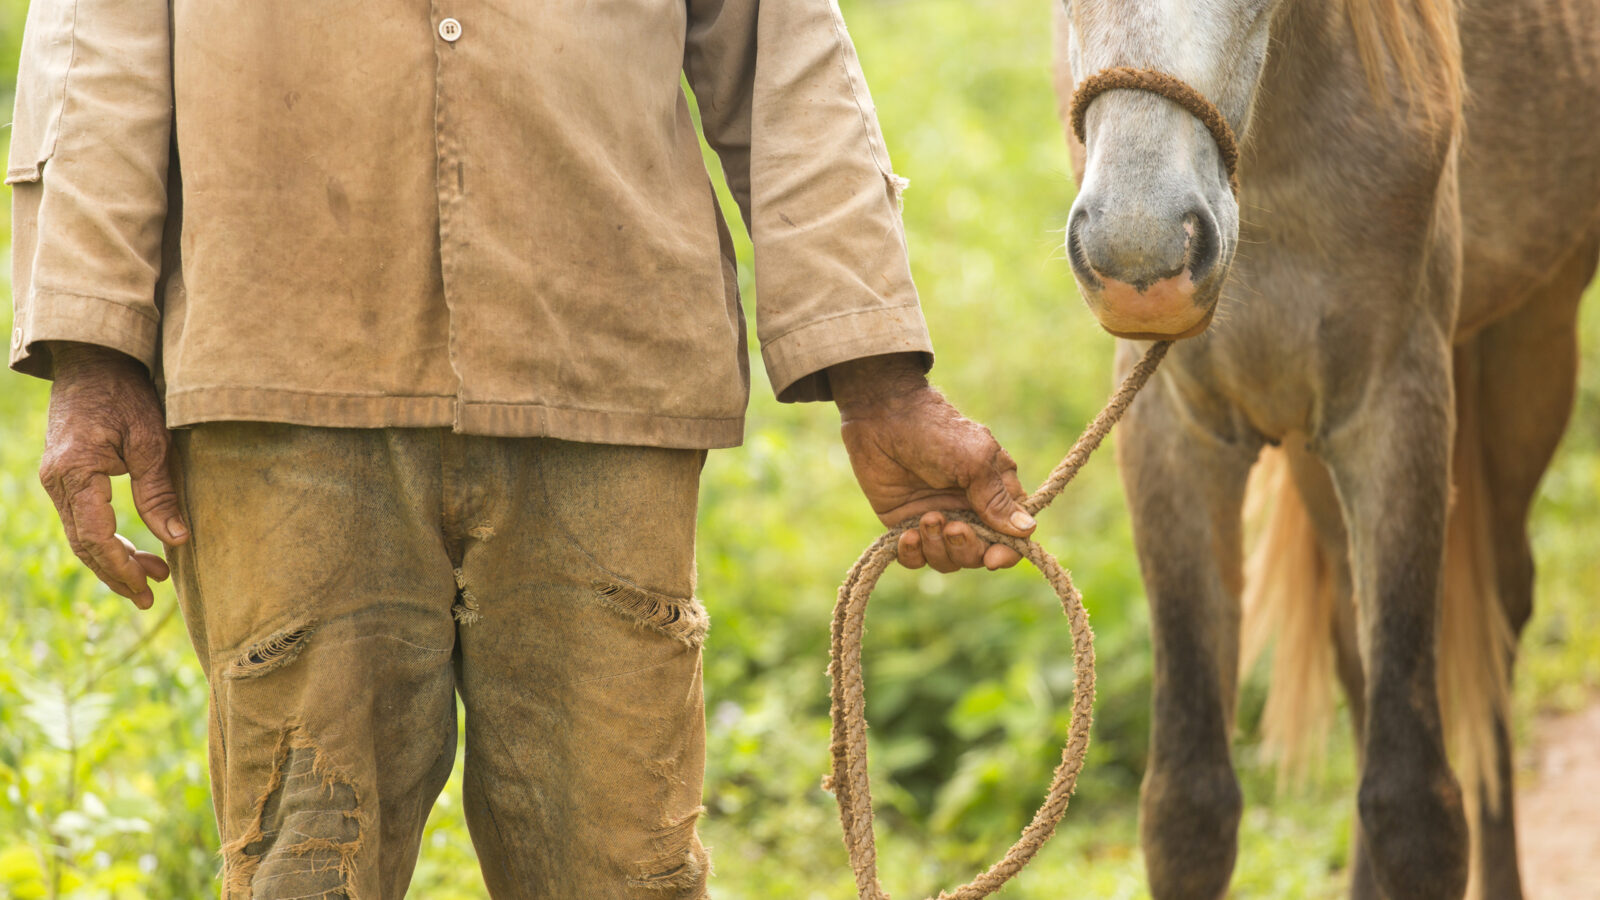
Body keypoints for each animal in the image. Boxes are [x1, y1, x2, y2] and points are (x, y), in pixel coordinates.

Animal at [1051, 0, 1600, 896]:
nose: (1140, 252)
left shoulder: (1395, 413)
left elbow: (1415, 806)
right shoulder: (1172, 429)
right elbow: (1187, 807)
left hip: (1534, 340)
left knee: (1500, 618)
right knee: (1356, 640)